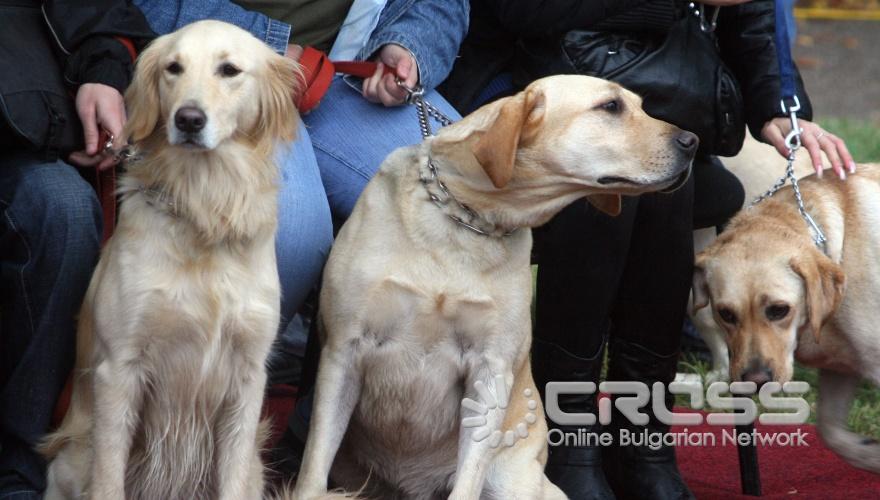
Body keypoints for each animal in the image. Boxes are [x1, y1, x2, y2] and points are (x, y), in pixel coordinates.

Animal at [41, 20, 300, 500]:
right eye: (173, 68)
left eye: (229, 70)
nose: (189, 119)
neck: (204, 208)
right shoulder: (120, 368)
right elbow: (108, 479)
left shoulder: (248, 376)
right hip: (71, 459)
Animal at [292, 75, 696, 500]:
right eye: (611, 107)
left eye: (639, 105)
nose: (693, 141)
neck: (465, 221)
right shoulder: (343, 352)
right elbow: (313, 470)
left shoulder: (491, 370)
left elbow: (468, 479)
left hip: (519, 481)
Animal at [696, 163, 880, 472]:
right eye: (726, 314)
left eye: (779, 310)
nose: (755, 380)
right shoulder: (840, 367)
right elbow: (830, 432)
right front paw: (868, 454)